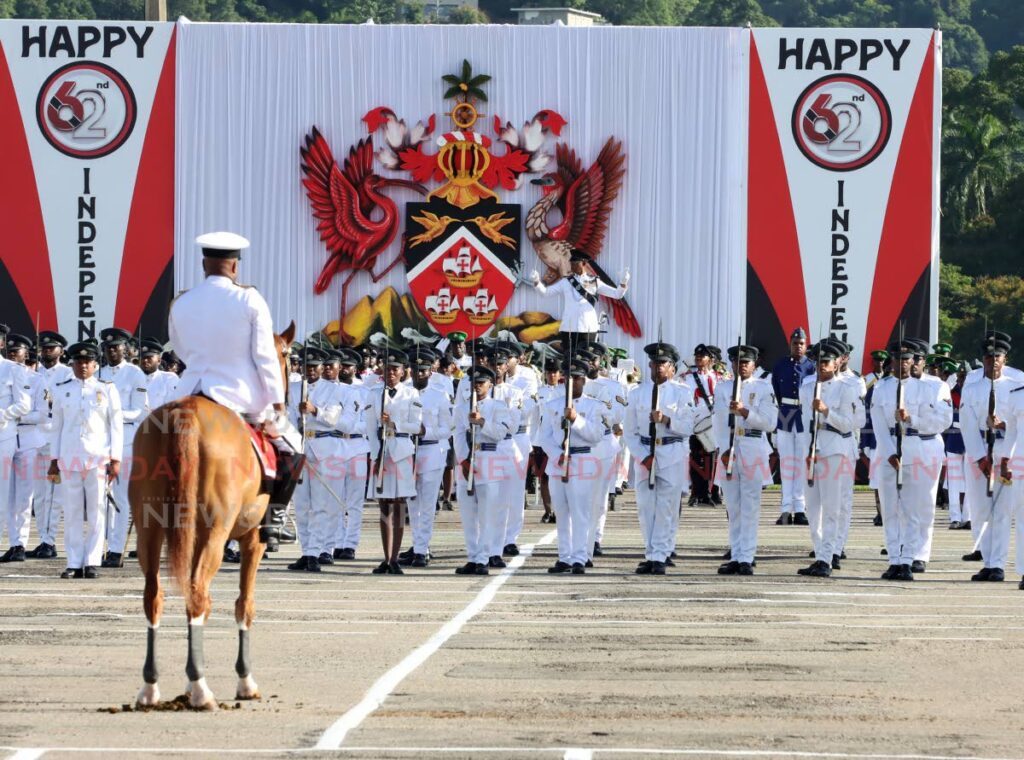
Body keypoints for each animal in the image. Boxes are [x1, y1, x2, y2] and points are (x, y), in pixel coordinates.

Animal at [130, 319, 294, 708]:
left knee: (154, 595)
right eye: (285, 356)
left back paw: (150, 687)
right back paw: (201, 688)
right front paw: (245, 681)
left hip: (150, 530)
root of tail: (184, 413)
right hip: (215, 534)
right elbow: (244, 604)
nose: (283, 404)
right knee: (197, 593)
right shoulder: (252, 541)